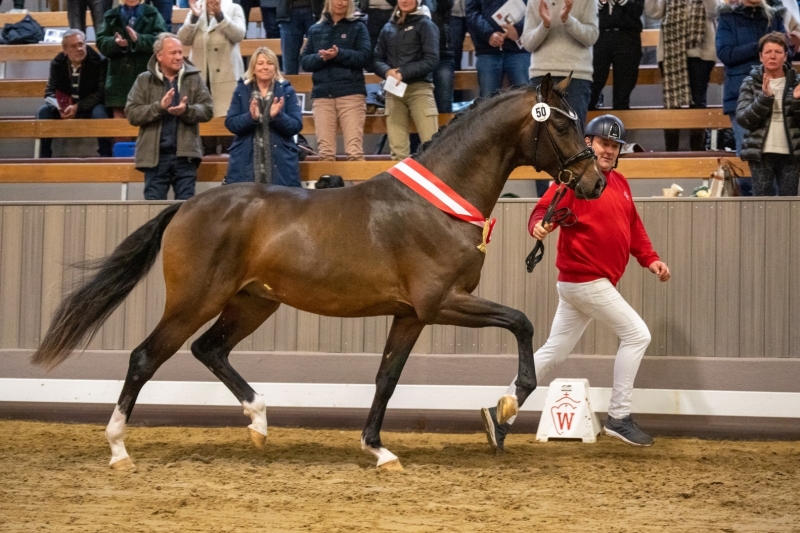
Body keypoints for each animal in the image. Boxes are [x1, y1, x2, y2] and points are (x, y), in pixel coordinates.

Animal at [34, 75, 604, 470]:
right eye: (560, 122)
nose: (594, 181)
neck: (439, 204)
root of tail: (187, 206)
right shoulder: (441, 302)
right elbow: (522, 322)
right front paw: (506, 406)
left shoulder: (411, 315)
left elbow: (387, 378)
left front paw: (378, 450)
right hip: (195, 301)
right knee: (145, 357)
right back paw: (118, 449)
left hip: (253, 302)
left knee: (209, 349)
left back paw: (260, 421)